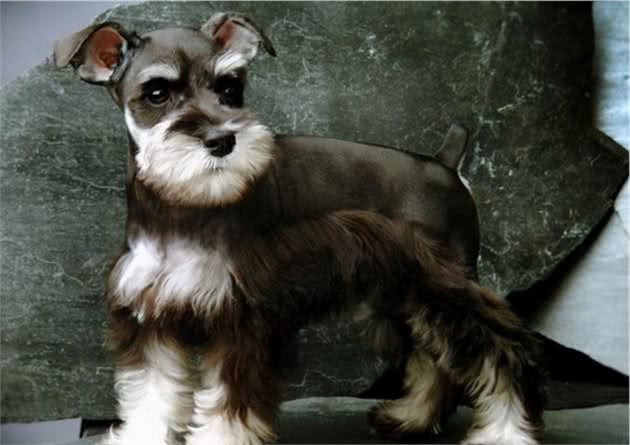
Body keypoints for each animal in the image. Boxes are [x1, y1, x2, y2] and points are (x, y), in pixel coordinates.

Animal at [53, 12, 545, 445]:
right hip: (401, 293)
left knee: (501, 354)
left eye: (229, 87)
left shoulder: (244, 319)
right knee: (432, 360)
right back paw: (412, 419)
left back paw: (506, 433)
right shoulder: (149, 317)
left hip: (444, 286)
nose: (222, 140)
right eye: (157, 92)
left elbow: (229, 404)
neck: (183, 205)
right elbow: (150, 395)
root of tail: (445, 164)